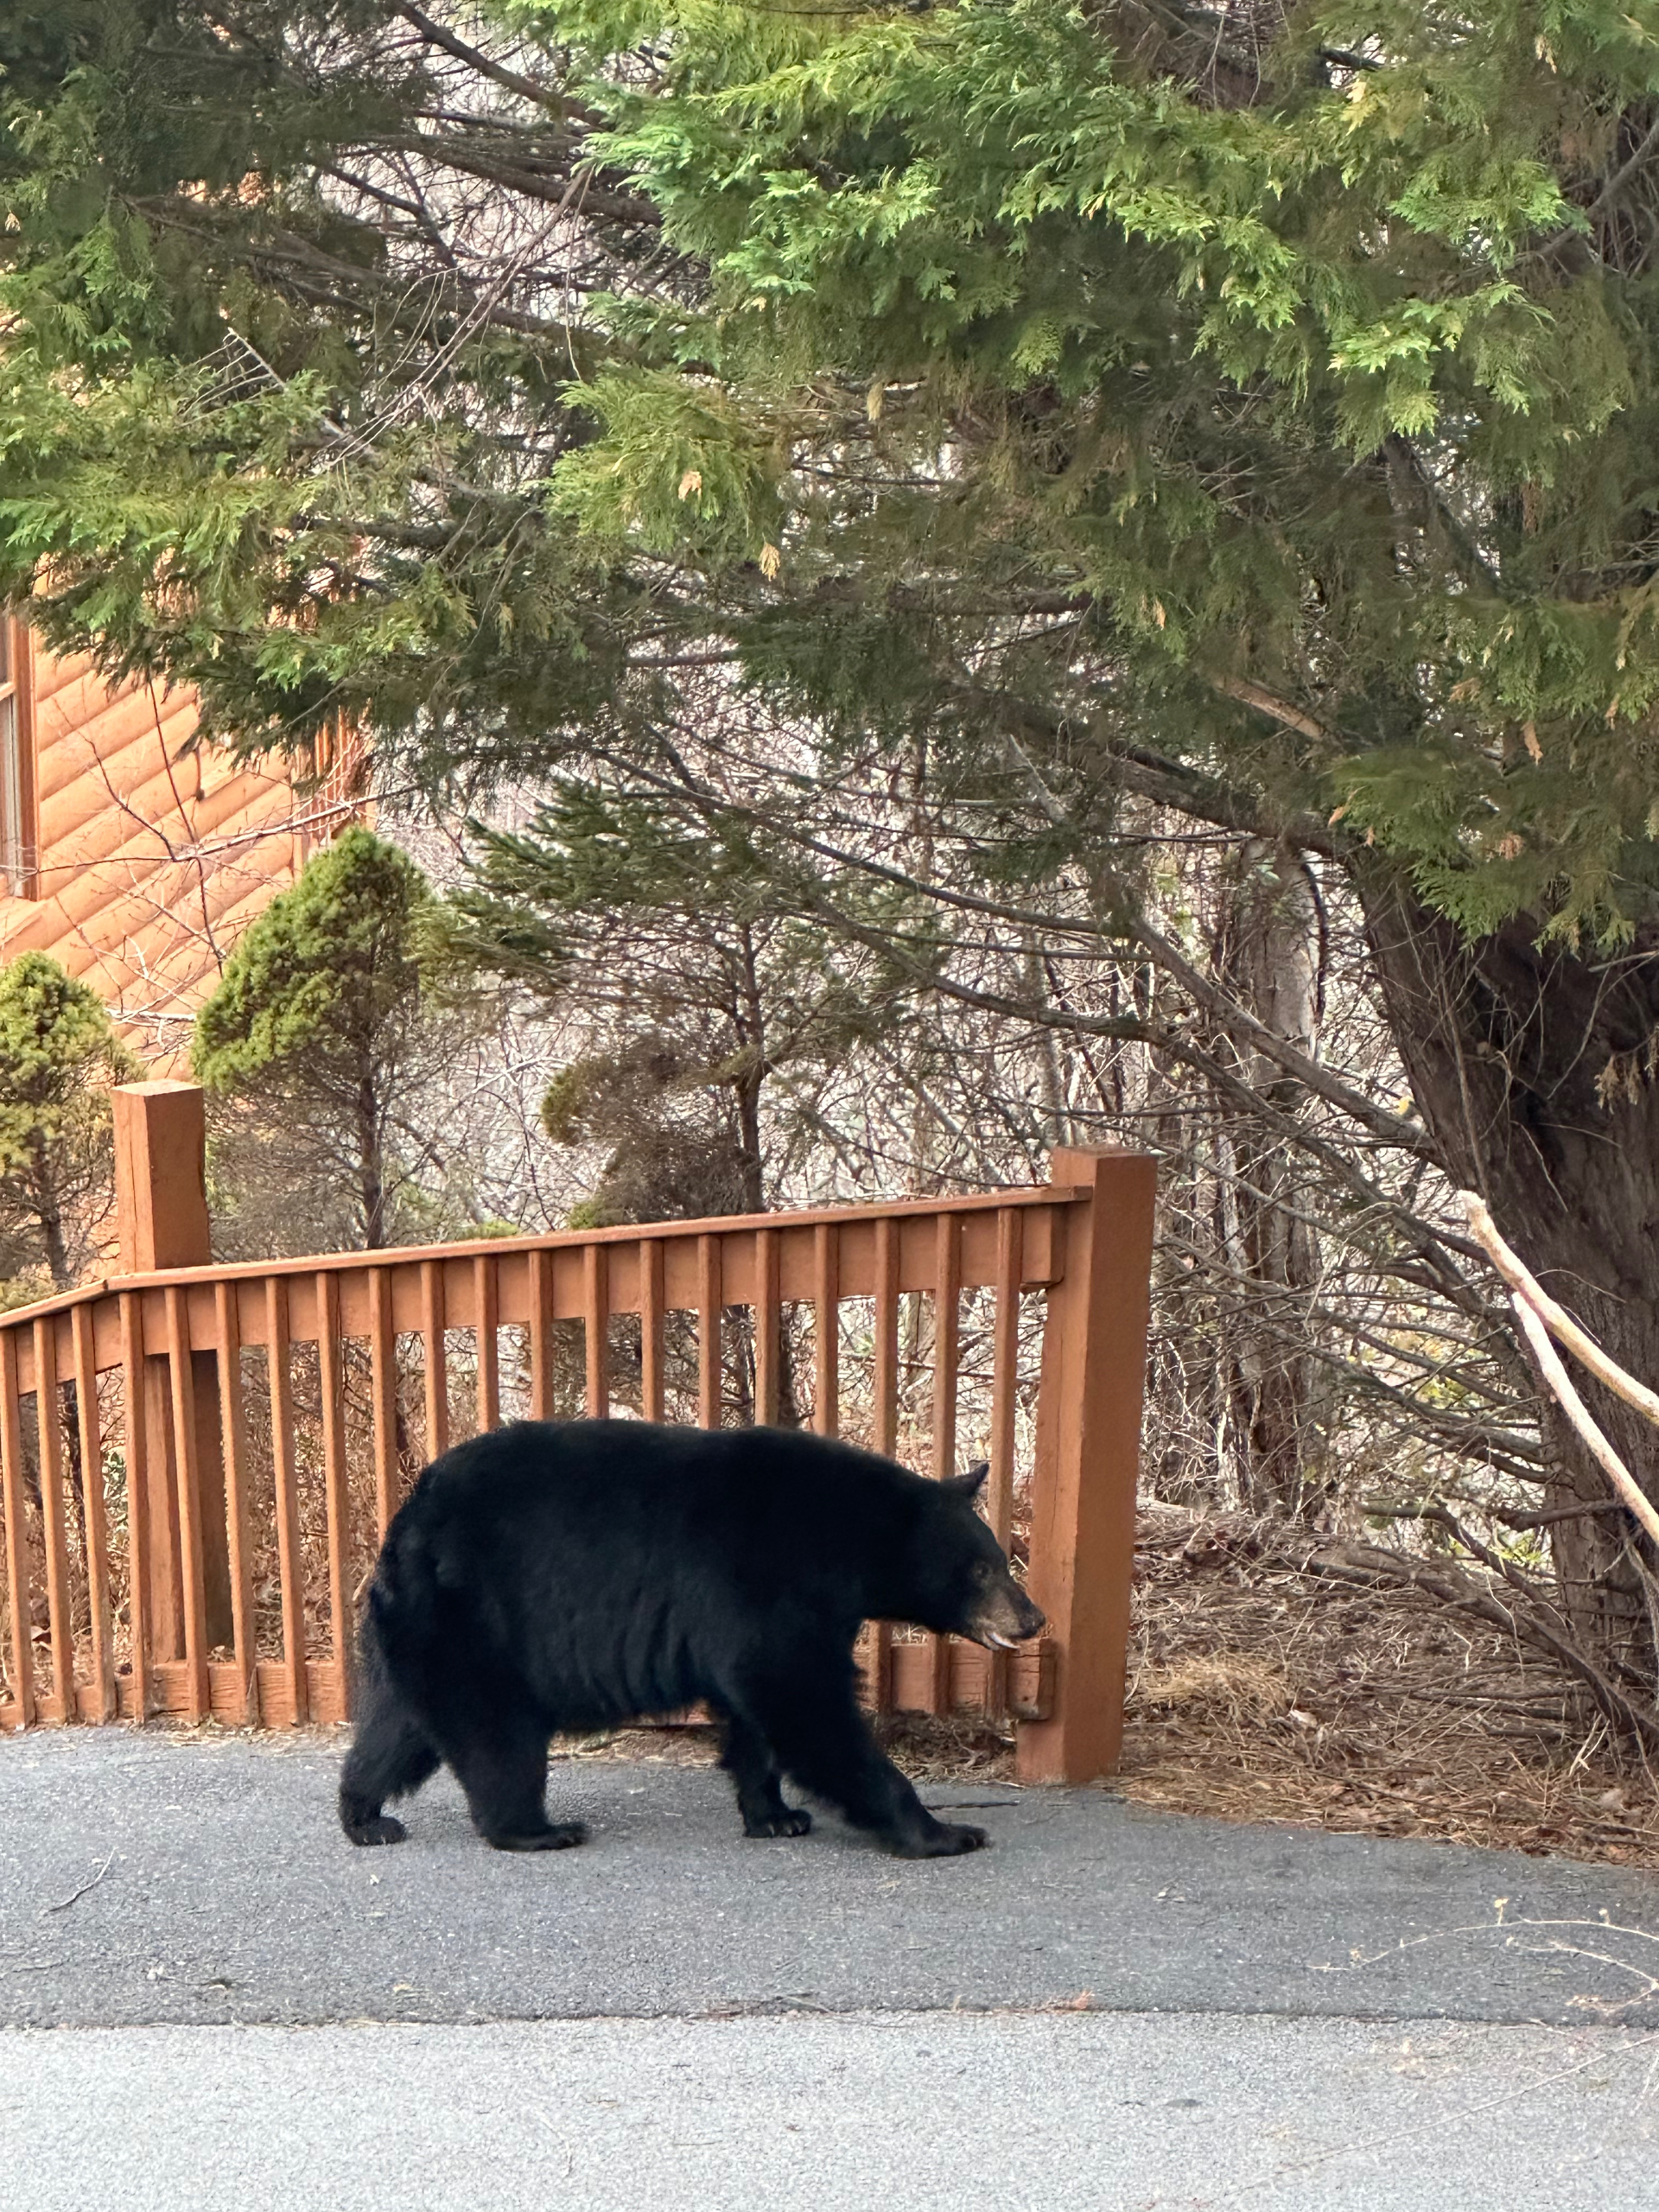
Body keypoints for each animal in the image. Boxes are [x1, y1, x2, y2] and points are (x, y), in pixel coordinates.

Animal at [338, 1417, 1044, 1859]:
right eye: (983, 1568)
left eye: (1000, 1562)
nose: (1033, 1618)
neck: (843, 1537)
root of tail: (408, 1517)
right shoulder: (763, 1577)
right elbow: (803, 1699)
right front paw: (945, 1833)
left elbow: (757, 1710)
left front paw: (775, 1815)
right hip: (483, 1620)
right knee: (495, 1735)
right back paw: (538, 1829)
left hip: (419, 1627)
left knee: (396, 1727)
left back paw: (366, 1817)